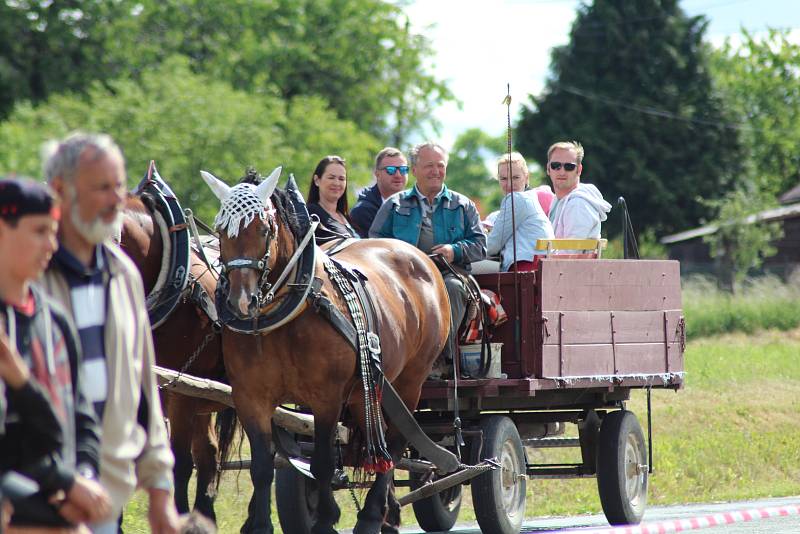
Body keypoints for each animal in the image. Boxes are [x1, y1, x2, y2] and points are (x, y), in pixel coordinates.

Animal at [200, 169, 450, 534]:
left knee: (396, 443)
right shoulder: (250, 396)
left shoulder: (326, 397)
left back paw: (371, 516)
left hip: (410, 381)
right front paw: (260, 524)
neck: (285, 314)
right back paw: (388, 514)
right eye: (220, 230)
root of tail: (421, 258)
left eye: (263, 229)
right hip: (367, 390)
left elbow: (321, 462)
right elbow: (262, 465)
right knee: (380, 441)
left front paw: (325, 520)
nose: (240, 301)